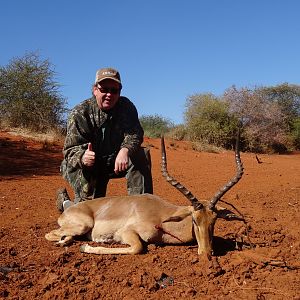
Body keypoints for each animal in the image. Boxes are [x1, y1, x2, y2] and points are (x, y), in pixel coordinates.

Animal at [45, 134, 245, 258]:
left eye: (214, 220)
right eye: (194, 220)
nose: (207, 253)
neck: (162, 217)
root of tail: (68, 210)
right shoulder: (127, 233)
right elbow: (137, 248)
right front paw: (86, 247)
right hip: (83, 225)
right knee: (50, 234)